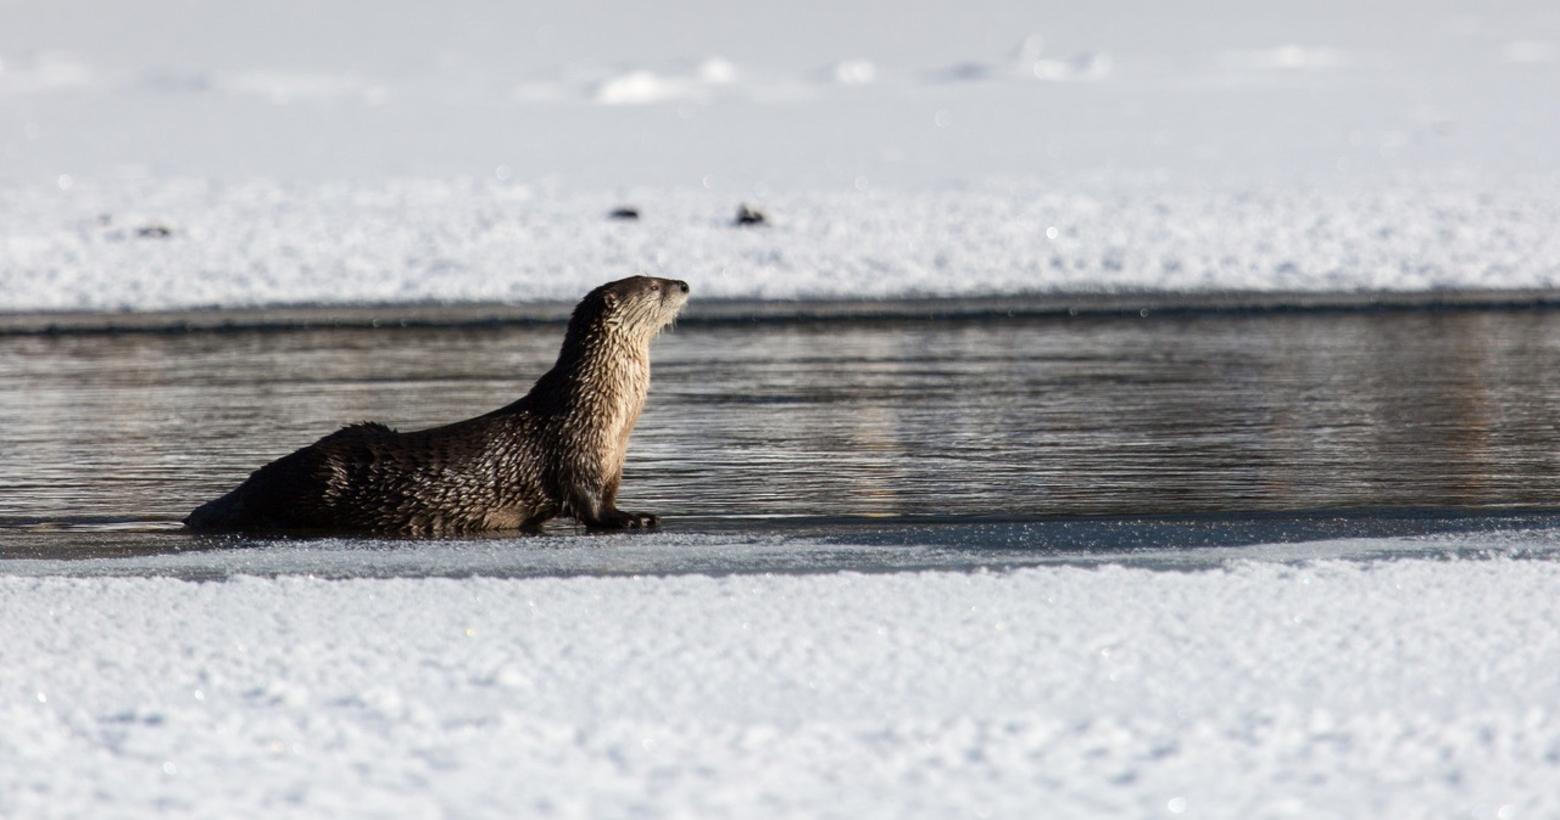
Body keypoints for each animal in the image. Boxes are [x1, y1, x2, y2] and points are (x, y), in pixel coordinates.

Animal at [182, 275, 689, 536]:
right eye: (652, 284)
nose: (683, 283)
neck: (602, 409)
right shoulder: (575, 455)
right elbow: (592, 508)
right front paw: (635, 518)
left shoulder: (610, 465)